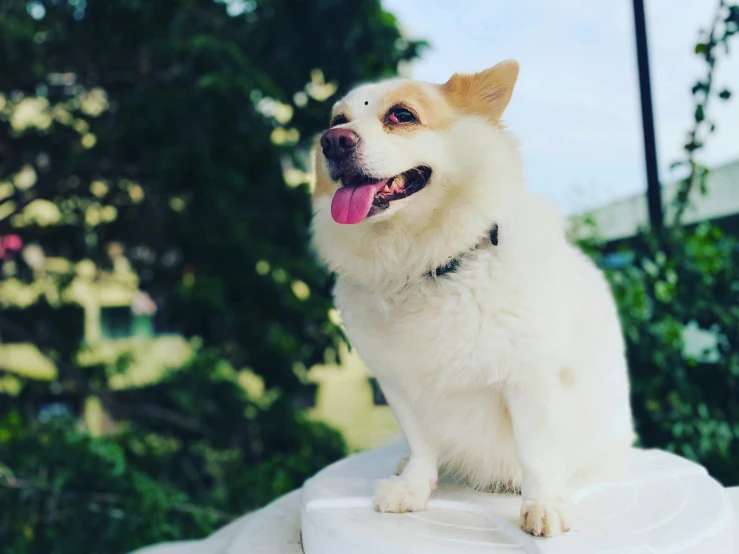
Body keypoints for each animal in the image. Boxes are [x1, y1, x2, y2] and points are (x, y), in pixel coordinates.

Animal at [310, 60, 632, 536]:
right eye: (337, 121)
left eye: (401, 115)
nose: (333, 142)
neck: (426, 267)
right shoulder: (398, 385)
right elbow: (422, 443)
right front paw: (414, 487)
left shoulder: (529, 377)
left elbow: (535, 450)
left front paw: (544, 503)